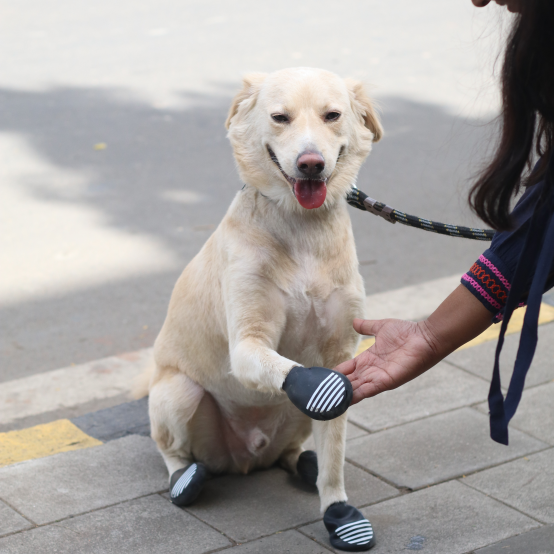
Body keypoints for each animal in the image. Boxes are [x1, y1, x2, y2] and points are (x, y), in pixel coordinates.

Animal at [144, 67, 382, 520]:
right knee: (173, 453)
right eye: (280, 117)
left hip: (294, 418)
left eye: (332, 115)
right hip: (179, 394)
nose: (311, 164)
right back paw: (186, 480)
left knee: (292, 452)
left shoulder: (337, 357)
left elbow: (335, 451)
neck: (302, 229)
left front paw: (337, 509)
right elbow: (292, 373)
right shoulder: (248, 343)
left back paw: (304, 465)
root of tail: (245, 458)